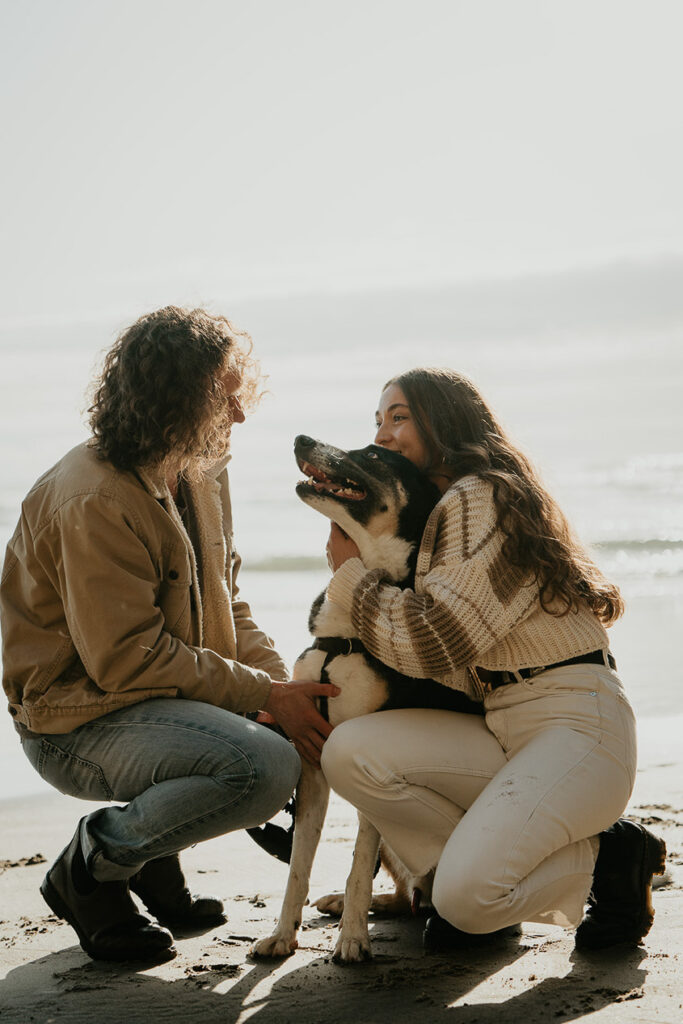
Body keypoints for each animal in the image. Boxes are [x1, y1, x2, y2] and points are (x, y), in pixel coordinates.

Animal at [250, 436, 481, 962]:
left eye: (373, 455)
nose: (301, 439)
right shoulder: (311, 762)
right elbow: (297, 866)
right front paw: (282, 935)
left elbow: (359, 861)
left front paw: (352, 940)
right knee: (406, 894)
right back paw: (345, 902)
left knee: (422, 892)